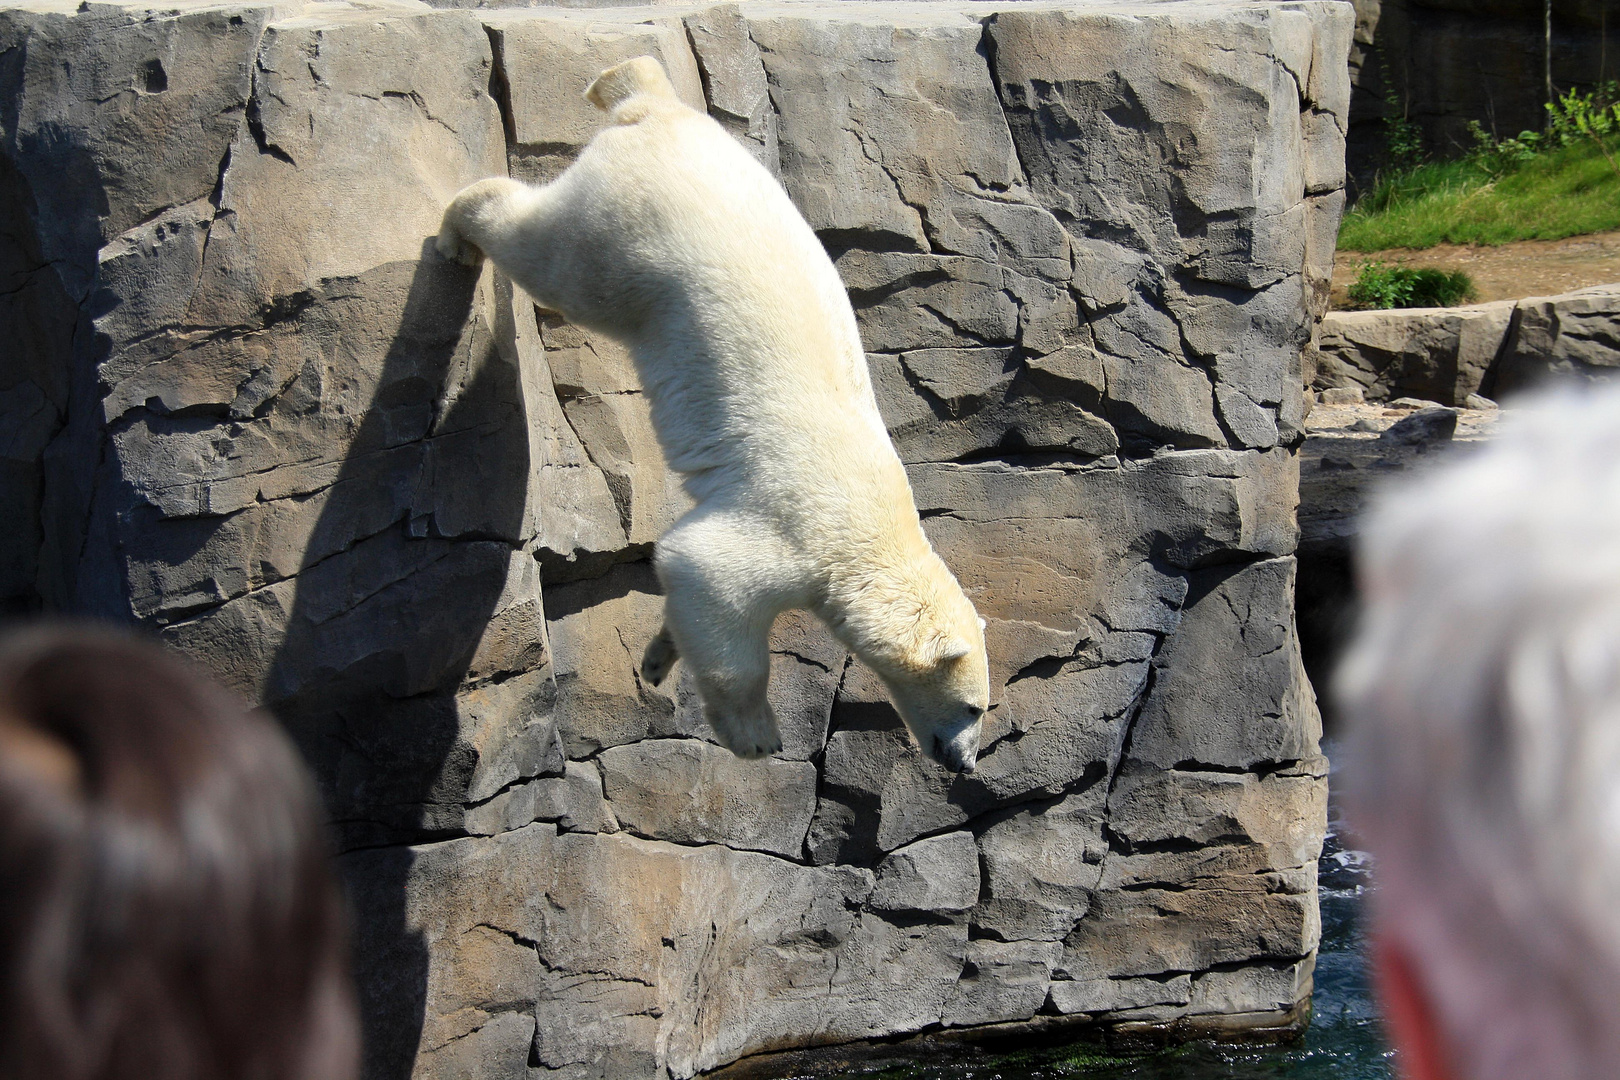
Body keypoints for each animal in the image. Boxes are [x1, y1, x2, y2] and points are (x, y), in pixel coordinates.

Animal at [437, 57, 984, 767]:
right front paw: (754, 733)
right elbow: (708, 576)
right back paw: (459, 232)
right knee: (554, 257)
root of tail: (665, 112)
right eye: (974, 706)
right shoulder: (799, 530)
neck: (876, 531)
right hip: (631, 234)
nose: (966, 762)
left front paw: (657, 656)